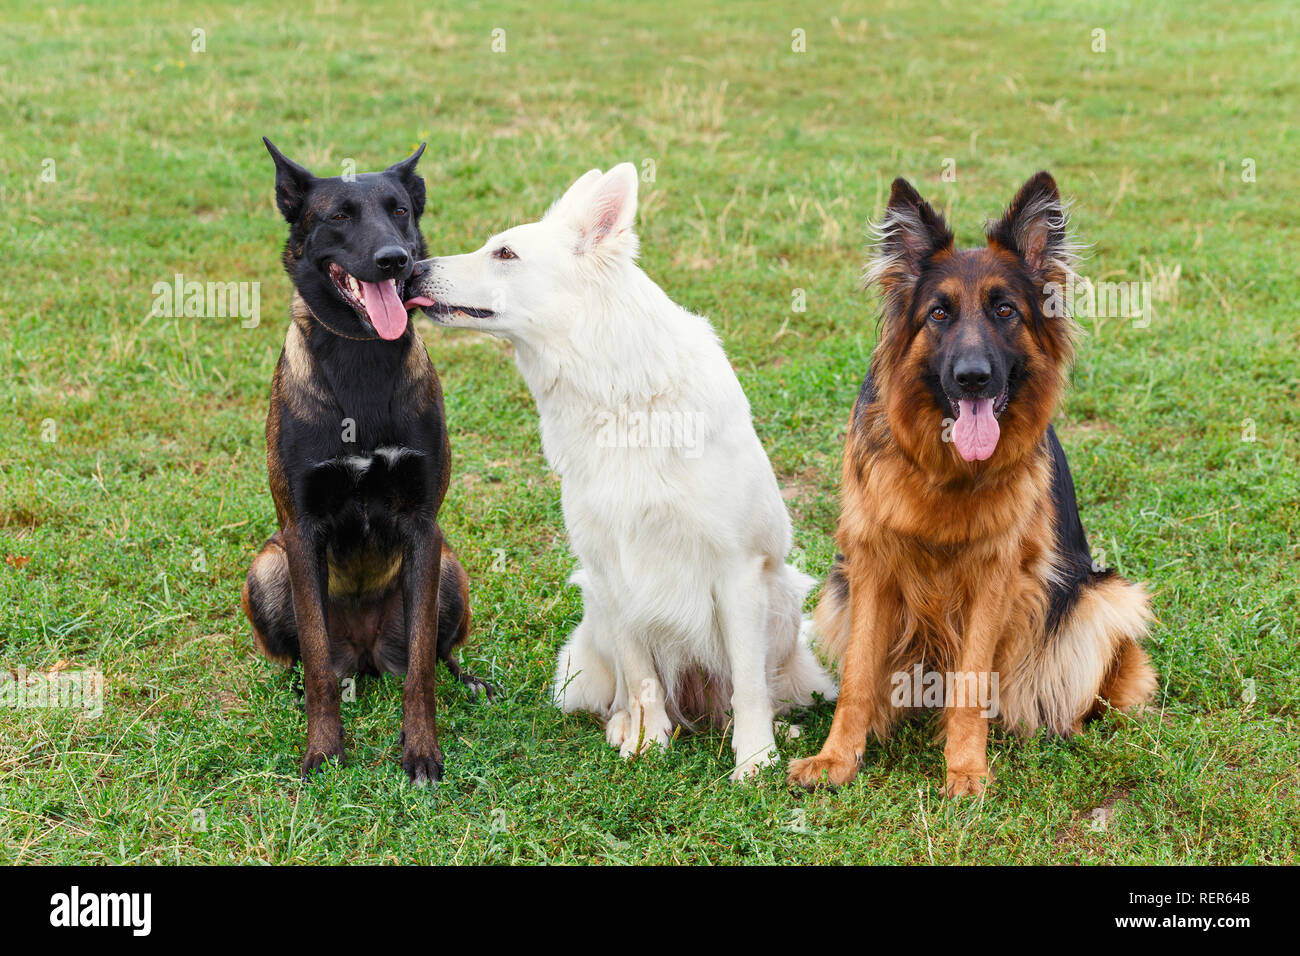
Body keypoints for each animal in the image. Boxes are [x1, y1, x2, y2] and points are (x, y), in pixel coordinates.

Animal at [240, 140, 491, 785]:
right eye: (338, 216)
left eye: (400, 210)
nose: (393, 260)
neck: (360, 356)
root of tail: (369, 655)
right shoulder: (300, 532)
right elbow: (318, 666)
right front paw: (323, 749)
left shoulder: (425, 528)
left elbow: (422, 670)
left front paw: (421, 751)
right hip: (267, 569)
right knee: (306, 660)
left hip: (448, 568)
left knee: (438, 654)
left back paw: (470, 680)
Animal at [403, 164, 832, 780]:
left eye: (504, 253)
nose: (410, 268)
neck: (617, 396)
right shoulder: (613, 568)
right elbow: (642, 675)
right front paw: (648, 742)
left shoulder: (740, 573)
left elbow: (749, 684)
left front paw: (755, 759)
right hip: (593, 624)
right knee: (626, 688)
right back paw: (626, 725)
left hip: (782, 603)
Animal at [790, 174, 1159, 801]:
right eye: (939, 313)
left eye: (1005, 310)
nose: (972, 378)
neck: (946, 471)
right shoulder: (871, 565)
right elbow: (859, 676)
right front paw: (838, 757)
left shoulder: (996, 575)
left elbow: (970, 682)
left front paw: (965, 769)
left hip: (1103, 599)